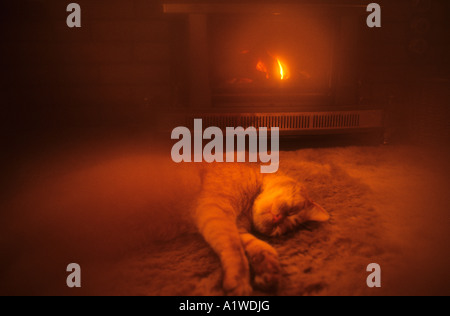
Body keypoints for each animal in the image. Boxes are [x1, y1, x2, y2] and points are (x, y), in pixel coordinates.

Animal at [194, 163, 330, 296]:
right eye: (291, 212)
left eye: (279, 230)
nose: (277, 220)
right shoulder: (215, 208)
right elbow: (234, 249)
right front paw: (240, 281)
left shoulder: (235, 227)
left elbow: (257, 246)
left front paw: (268, 270)